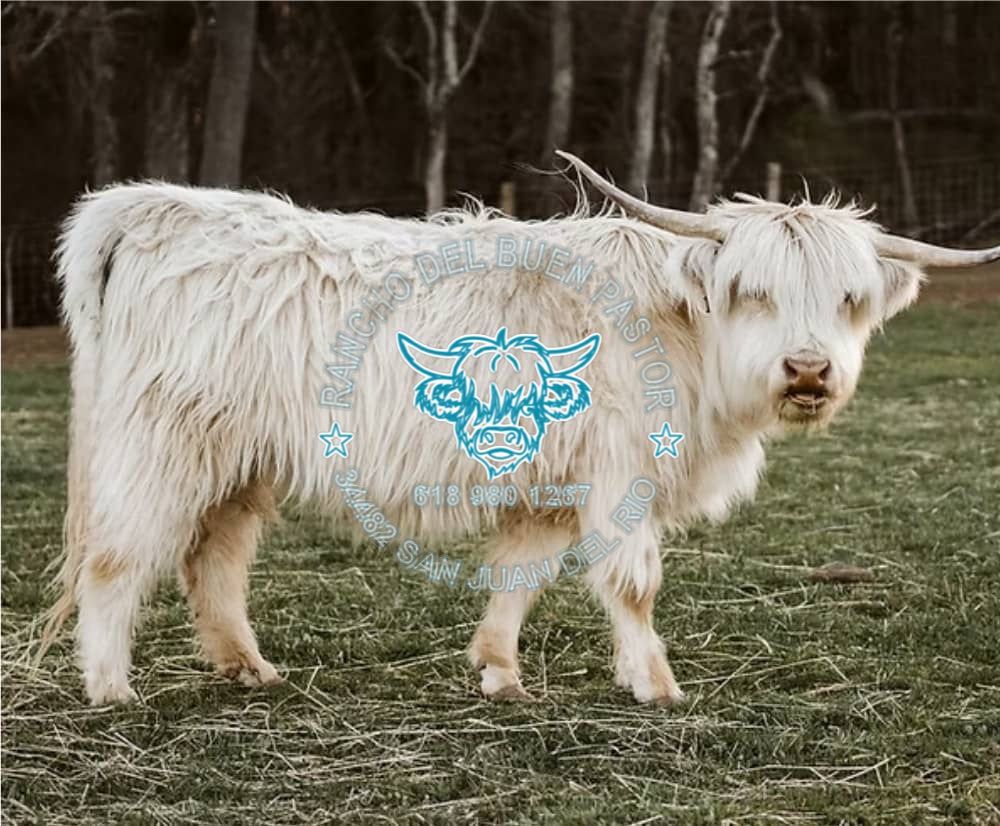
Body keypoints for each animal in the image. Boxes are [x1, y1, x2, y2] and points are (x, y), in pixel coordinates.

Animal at [38, 151, 999, 707]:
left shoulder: (552, 481)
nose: (807, 370)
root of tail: (151, 206)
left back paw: (246, 666)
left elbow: (520, 574)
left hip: (241, 456)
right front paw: (656, 686)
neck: (682, 332)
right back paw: (110, 689)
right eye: (752, 291)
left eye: (850, 298)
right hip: (160, 442)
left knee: (215, 556)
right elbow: (633, 583)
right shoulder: (620, 472)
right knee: (119, 557)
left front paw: (498, 669)